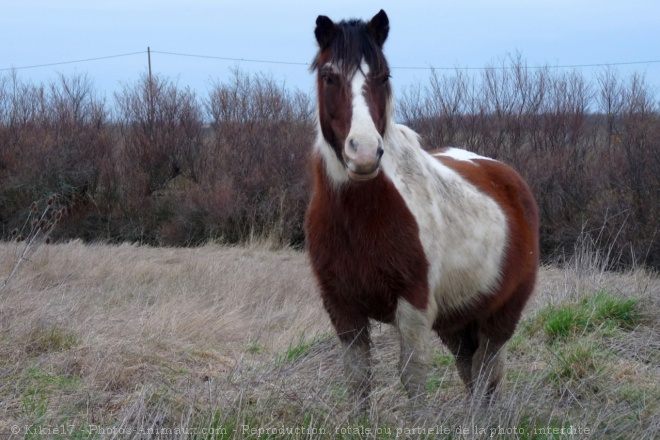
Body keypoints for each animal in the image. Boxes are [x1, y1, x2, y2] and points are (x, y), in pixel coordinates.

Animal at [306, 9, 540, 410]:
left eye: (383, 76)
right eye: (329, 76)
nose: (363, 153)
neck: (361, 213)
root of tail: (506, 177)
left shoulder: (413, 306)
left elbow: (413, 379)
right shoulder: (341, 306)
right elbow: (357, 380)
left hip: (501, 315)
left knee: (486, 369)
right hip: (457, 321)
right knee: (470, 369)